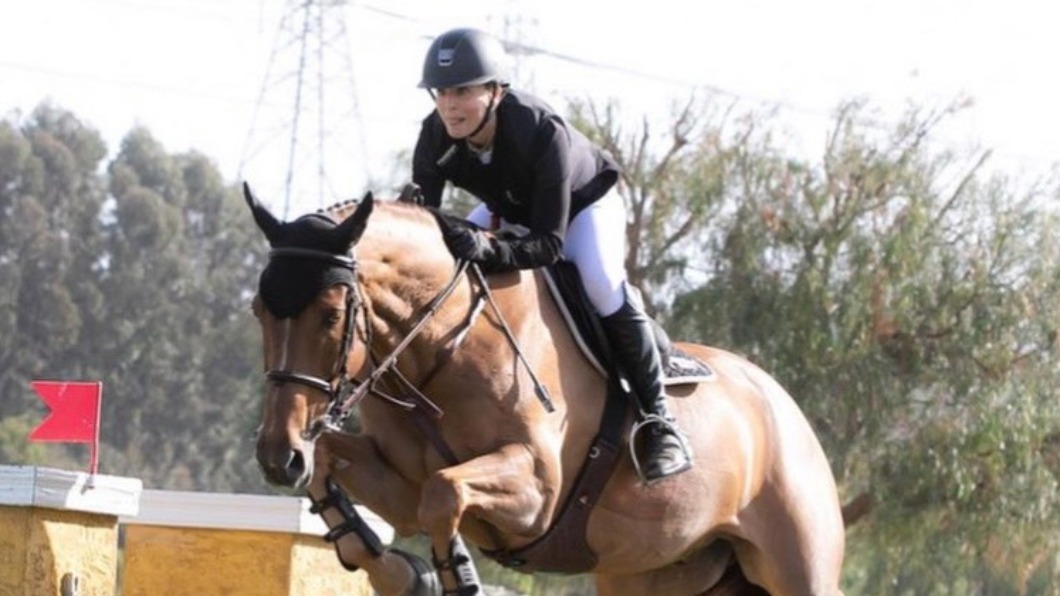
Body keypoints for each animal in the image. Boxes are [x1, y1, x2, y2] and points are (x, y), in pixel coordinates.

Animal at [245, 183, 845, 595]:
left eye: (330, 316)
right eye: (258, 311)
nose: (277, 457)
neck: (441, 344)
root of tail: (785, 410)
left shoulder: (537, 489)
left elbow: (444, 492)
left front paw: (459, 577)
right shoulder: (398, 482)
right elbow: (334, 466)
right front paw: (402, 575)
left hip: (799, 570)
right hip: (649, 572)